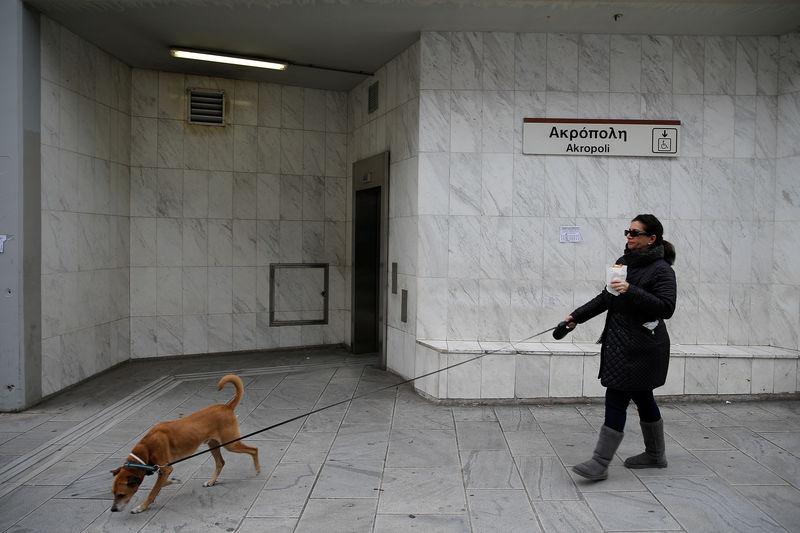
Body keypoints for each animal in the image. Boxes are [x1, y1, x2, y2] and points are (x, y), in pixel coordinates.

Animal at [108, 372, 260, 512]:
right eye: (113, 493)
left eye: (121, 495)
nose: (113, 509)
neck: (146, 448)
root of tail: (227, 406)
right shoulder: (163, 470)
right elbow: (160, 484)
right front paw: (174, 481)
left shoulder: (166, 468)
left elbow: (153, 491)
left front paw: (142, 507)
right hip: (213, 444)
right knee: (220, 463)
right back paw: (211, 481)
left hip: (230, 443)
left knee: (254, 449)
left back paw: (257, 469)